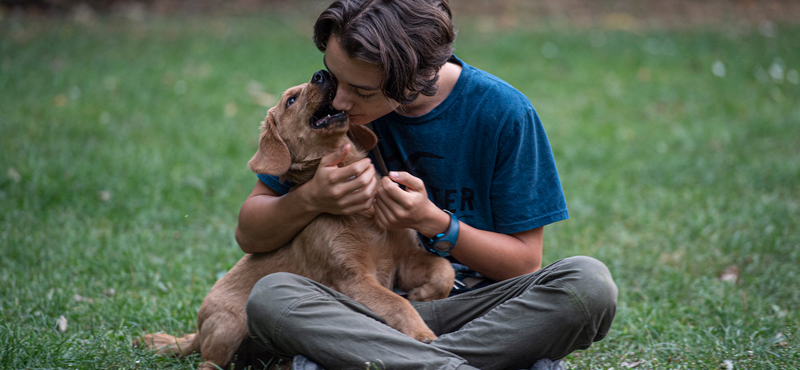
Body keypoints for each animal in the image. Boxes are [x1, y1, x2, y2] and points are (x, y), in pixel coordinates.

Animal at [134, 70, 454, 370]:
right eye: (290, 100)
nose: (322, 74)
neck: (363, 214)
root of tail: (198, 333)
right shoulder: (353, 278)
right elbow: (396, 302)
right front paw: (422, 334)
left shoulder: (406, 258)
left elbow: (443, 269)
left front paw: (424, 294)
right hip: (227, 326)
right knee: (208, 363)